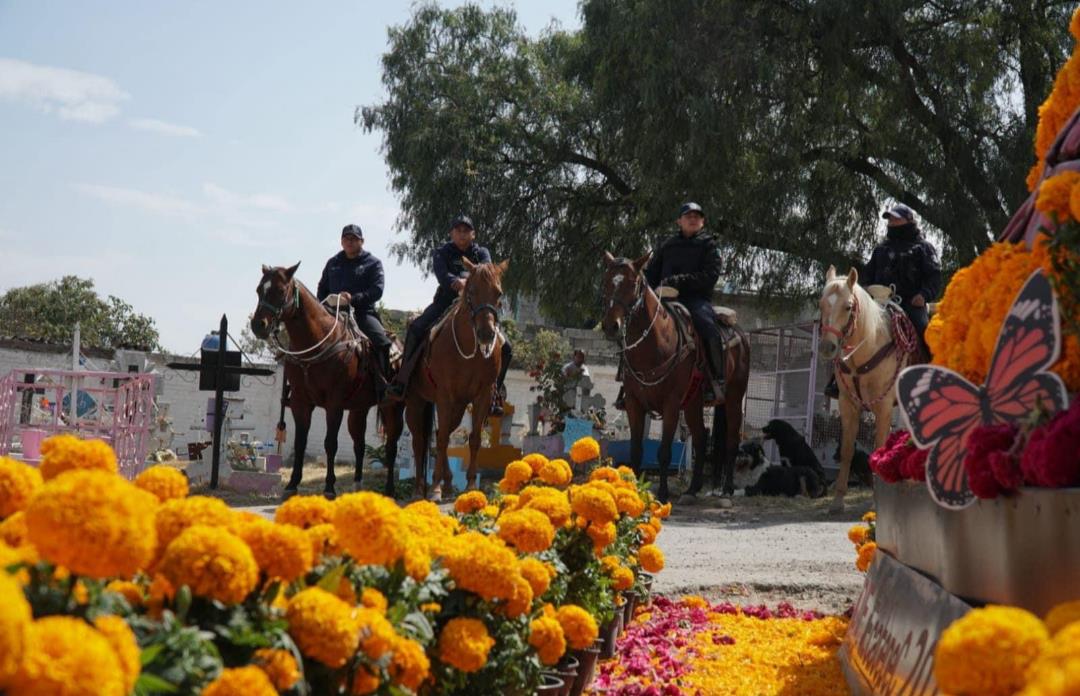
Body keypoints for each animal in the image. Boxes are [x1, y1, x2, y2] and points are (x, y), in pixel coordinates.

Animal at [248, 262, 406, 499]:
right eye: (259, 290)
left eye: (281, 290)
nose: (259, 325)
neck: (320, 343)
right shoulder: (301, 403)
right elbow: (300, 442)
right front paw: (292, 484)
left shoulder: (334, 404)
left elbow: (330, 443)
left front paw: (329, 487)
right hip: (358, 410)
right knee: (359, 445)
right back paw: (357, 485)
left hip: (393, 407)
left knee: (391, 446)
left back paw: (389, 490)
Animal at [406, 258, 507, 497]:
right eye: (471, 291)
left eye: (498, 293)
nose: (486, 334)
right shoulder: (444, 395)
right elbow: (442, 439)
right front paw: (434, 487)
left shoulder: (482, 395)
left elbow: (474, 439)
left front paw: (470, 485)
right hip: (416, 401)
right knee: (420, 441)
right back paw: (420, 487)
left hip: (458, 407)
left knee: (440, 434)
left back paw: (449, 483)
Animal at [600, 252, 751, 503]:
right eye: (607, 282)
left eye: (633, 284)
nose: (611, 326)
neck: (657, 344)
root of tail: (739, 331)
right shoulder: (634, 403)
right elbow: (635, 450)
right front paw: (635, 492)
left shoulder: (670, 404)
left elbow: (664, 451)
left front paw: (662, 493)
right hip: (693, 404)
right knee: (700, 438)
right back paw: (692, 489)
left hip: (733, 398)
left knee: (731, 439)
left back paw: (727, 488)